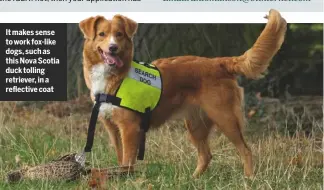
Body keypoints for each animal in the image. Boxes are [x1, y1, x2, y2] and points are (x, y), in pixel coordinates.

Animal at [79, 9, 288, 177]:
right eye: (102, 34)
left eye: (119, 34)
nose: (113, 48)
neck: (114, 77)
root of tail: (219, 62)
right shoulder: (112, 128)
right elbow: (120, 156)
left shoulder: (129, 128)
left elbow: (127, 161)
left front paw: (126, 179)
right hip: (196, 125)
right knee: (206, 155)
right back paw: (194, 180)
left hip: (225, 118)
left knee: (245, 150)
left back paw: (249, 179)